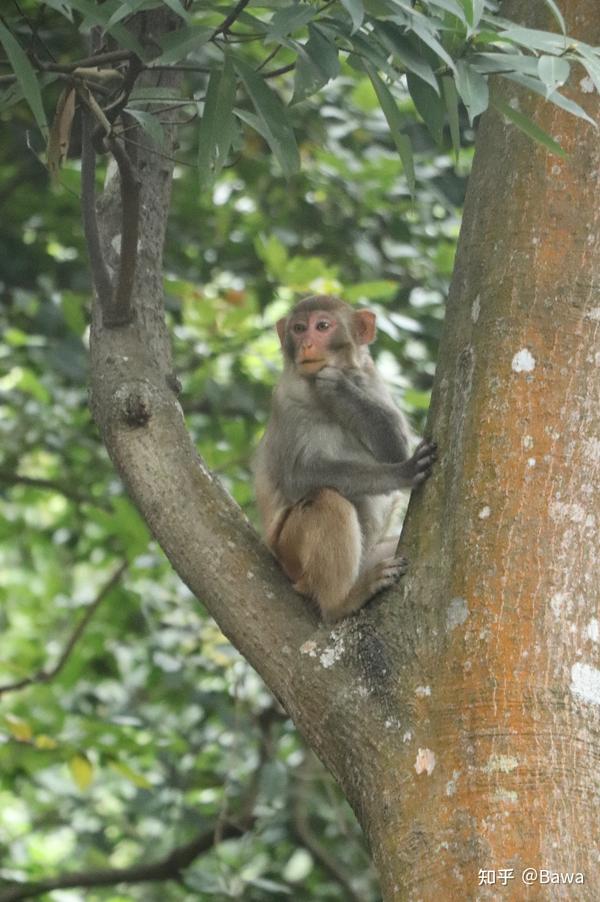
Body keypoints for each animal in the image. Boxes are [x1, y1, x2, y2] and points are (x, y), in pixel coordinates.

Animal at [253, 294, 436, 620]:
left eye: (322, 326)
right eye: (299, 328)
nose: (306, 344)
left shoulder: (370, 378)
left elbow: (395, 448)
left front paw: (340, 388)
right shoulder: (287, 400)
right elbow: (298, 480)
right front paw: (400, 473)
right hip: (291, 556)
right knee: (326, 500)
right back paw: (341, 601)